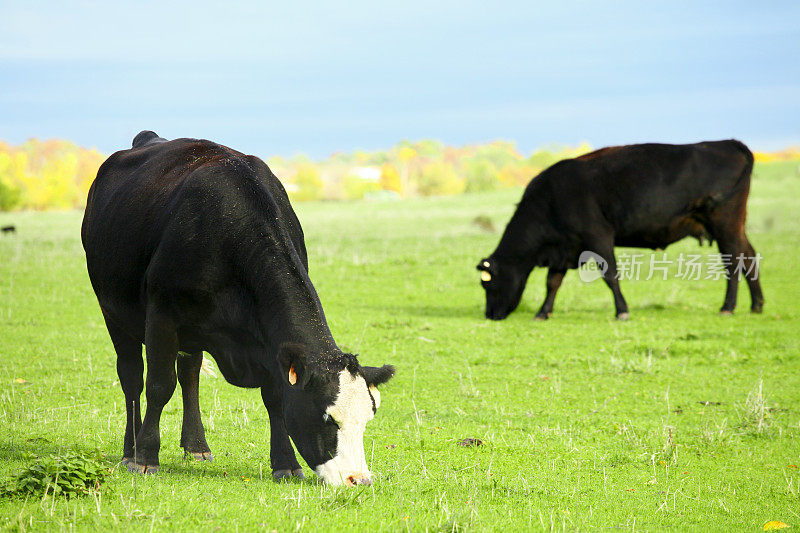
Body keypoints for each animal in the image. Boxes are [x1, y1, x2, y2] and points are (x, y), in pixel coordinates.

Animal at [81, 131, 394, 484]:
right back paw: (129, 449)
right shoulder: (161, 316)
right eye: (328, 419)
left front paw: (285, 462)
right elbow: (159, 386)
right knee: (132, 377)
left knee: (189, 374)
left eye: (367, 419)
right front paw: (146, 457)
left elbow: (274, 397)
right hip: (113, 312)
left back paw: (196, 446)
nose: (360, 479)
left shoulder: (270, 341)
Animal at [478, 139, 764, 318]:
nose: (490, 315)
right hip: (735, 226)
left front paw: (622, 311)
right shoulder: (566, 246)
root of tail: (728, 143)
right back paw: (756, 305)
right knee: (749, 258)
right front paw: (543, 312)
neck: (550, 200)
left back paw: (728, 307)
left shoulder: (598, 237)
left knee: (733, 262)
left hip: (725, 224)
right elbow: (553, 282)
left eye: (488, 284)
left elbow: (610, 275)